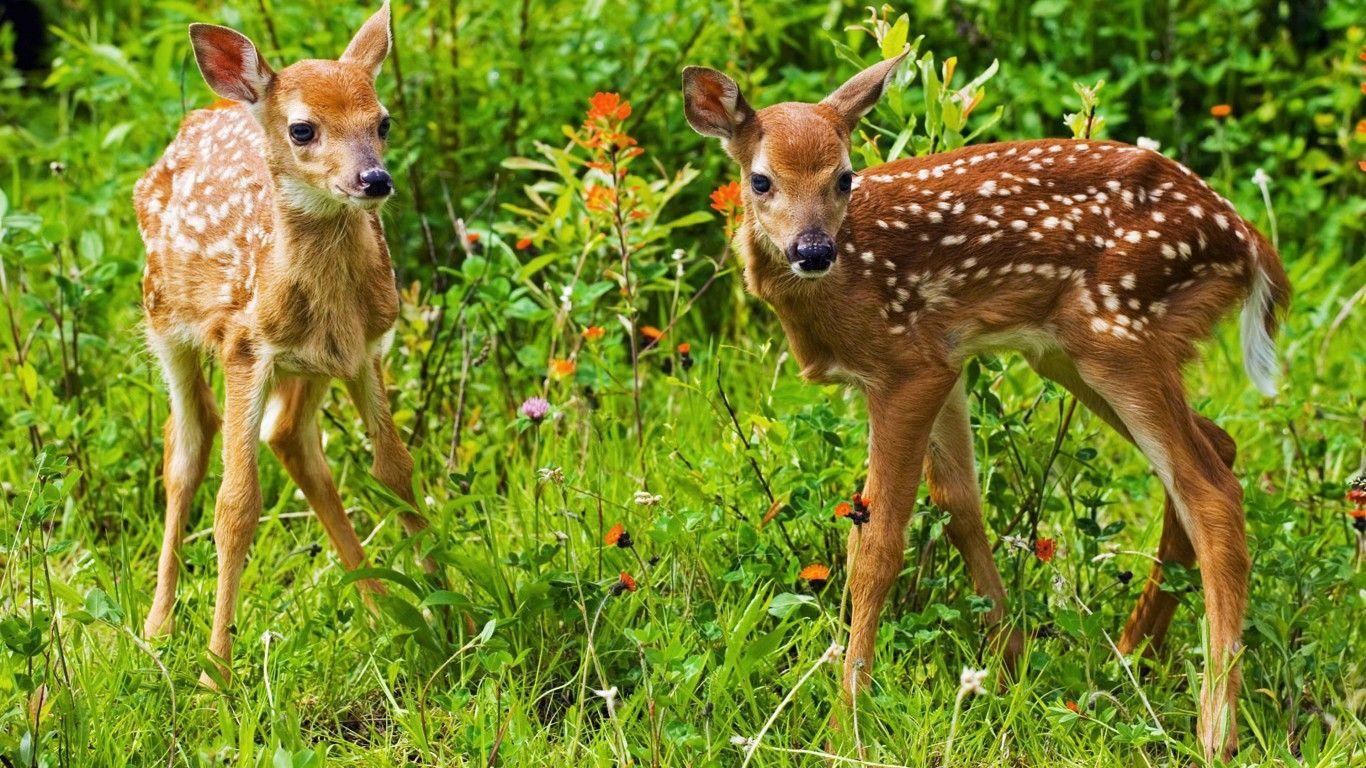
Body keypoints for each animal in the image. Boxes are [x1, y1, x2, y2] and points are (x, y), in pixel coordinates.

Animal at [133, 1, 431, 684]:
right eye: (302, 129)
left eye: (383, 120)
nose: (374, 179)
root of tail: (205, 113)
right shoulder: (245, 347)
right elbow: (237, 506)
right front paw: (216, 672)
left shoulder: (364, 349)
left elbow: (394, 470)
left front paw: (448, 601)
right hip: (164, 320)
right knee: (185, 447)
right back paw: (157, 629)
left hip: (311, 369)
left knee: (290, 437)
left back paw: (379, 606)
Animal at [683, 51, 1290, 760]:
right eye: (760, 180)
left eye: (844, 176)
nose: (812, 251)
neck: (845, 285)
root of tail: (1247, 240)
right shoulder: (944, 359)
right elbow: (960, 506)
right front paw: (1009, 663)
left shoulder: (906, 367)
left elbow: (878, 546)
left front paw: (847, 721)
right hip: (1075, 351)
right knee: (1214, 449)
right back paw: (1129, 655)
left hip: (1117, 330)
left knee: (1211, 492)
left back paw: (1214, 729)